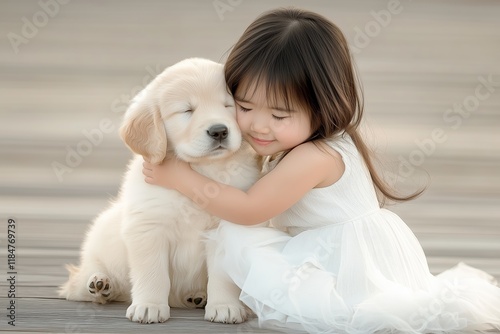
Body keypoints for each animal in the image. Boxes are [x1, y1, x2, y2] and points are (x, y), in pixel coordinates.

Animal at [59, 57, 258, 324]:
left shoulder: (226, 227)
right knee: (80, 280)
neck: (200, 172)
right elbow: (153, 274)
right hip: (104, 235)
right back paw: (100, 283)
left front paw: (225, 306)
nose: (219, 131)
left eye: (228, 106)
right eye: (187, 110)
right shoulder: (148, 227)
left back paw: (196, 296)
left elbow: (222, 276)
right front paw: (149, 306)